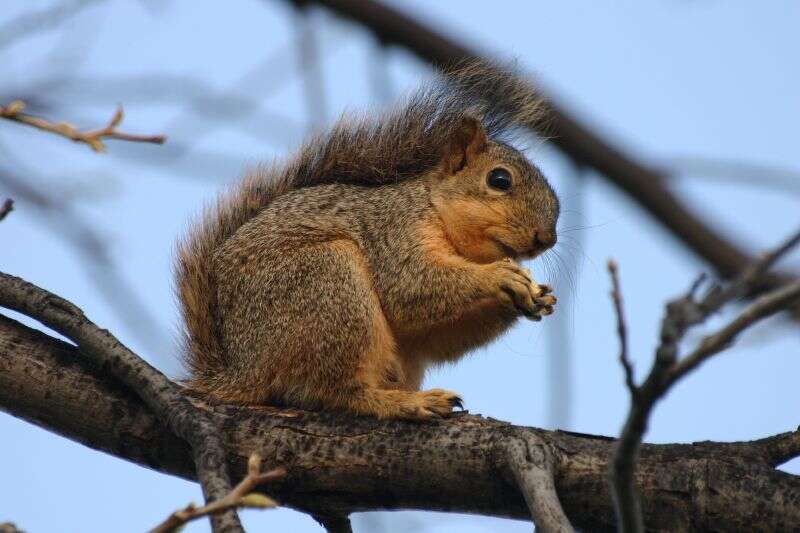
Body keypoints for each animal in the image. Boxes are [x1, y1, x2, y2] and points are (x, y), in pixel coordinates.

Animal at [175, 61, 564, 420]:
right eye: (499, 180)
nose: (547, 237)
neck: (438, 212)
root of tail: (243, 370)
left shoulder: (422, 336)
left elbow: (438, 335)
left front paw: (538, 298)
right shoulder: (393, 233)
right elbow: (410, 286)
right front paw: (499, 276)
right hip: (327, 286)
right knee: (335, 391)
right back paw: (405, 403)